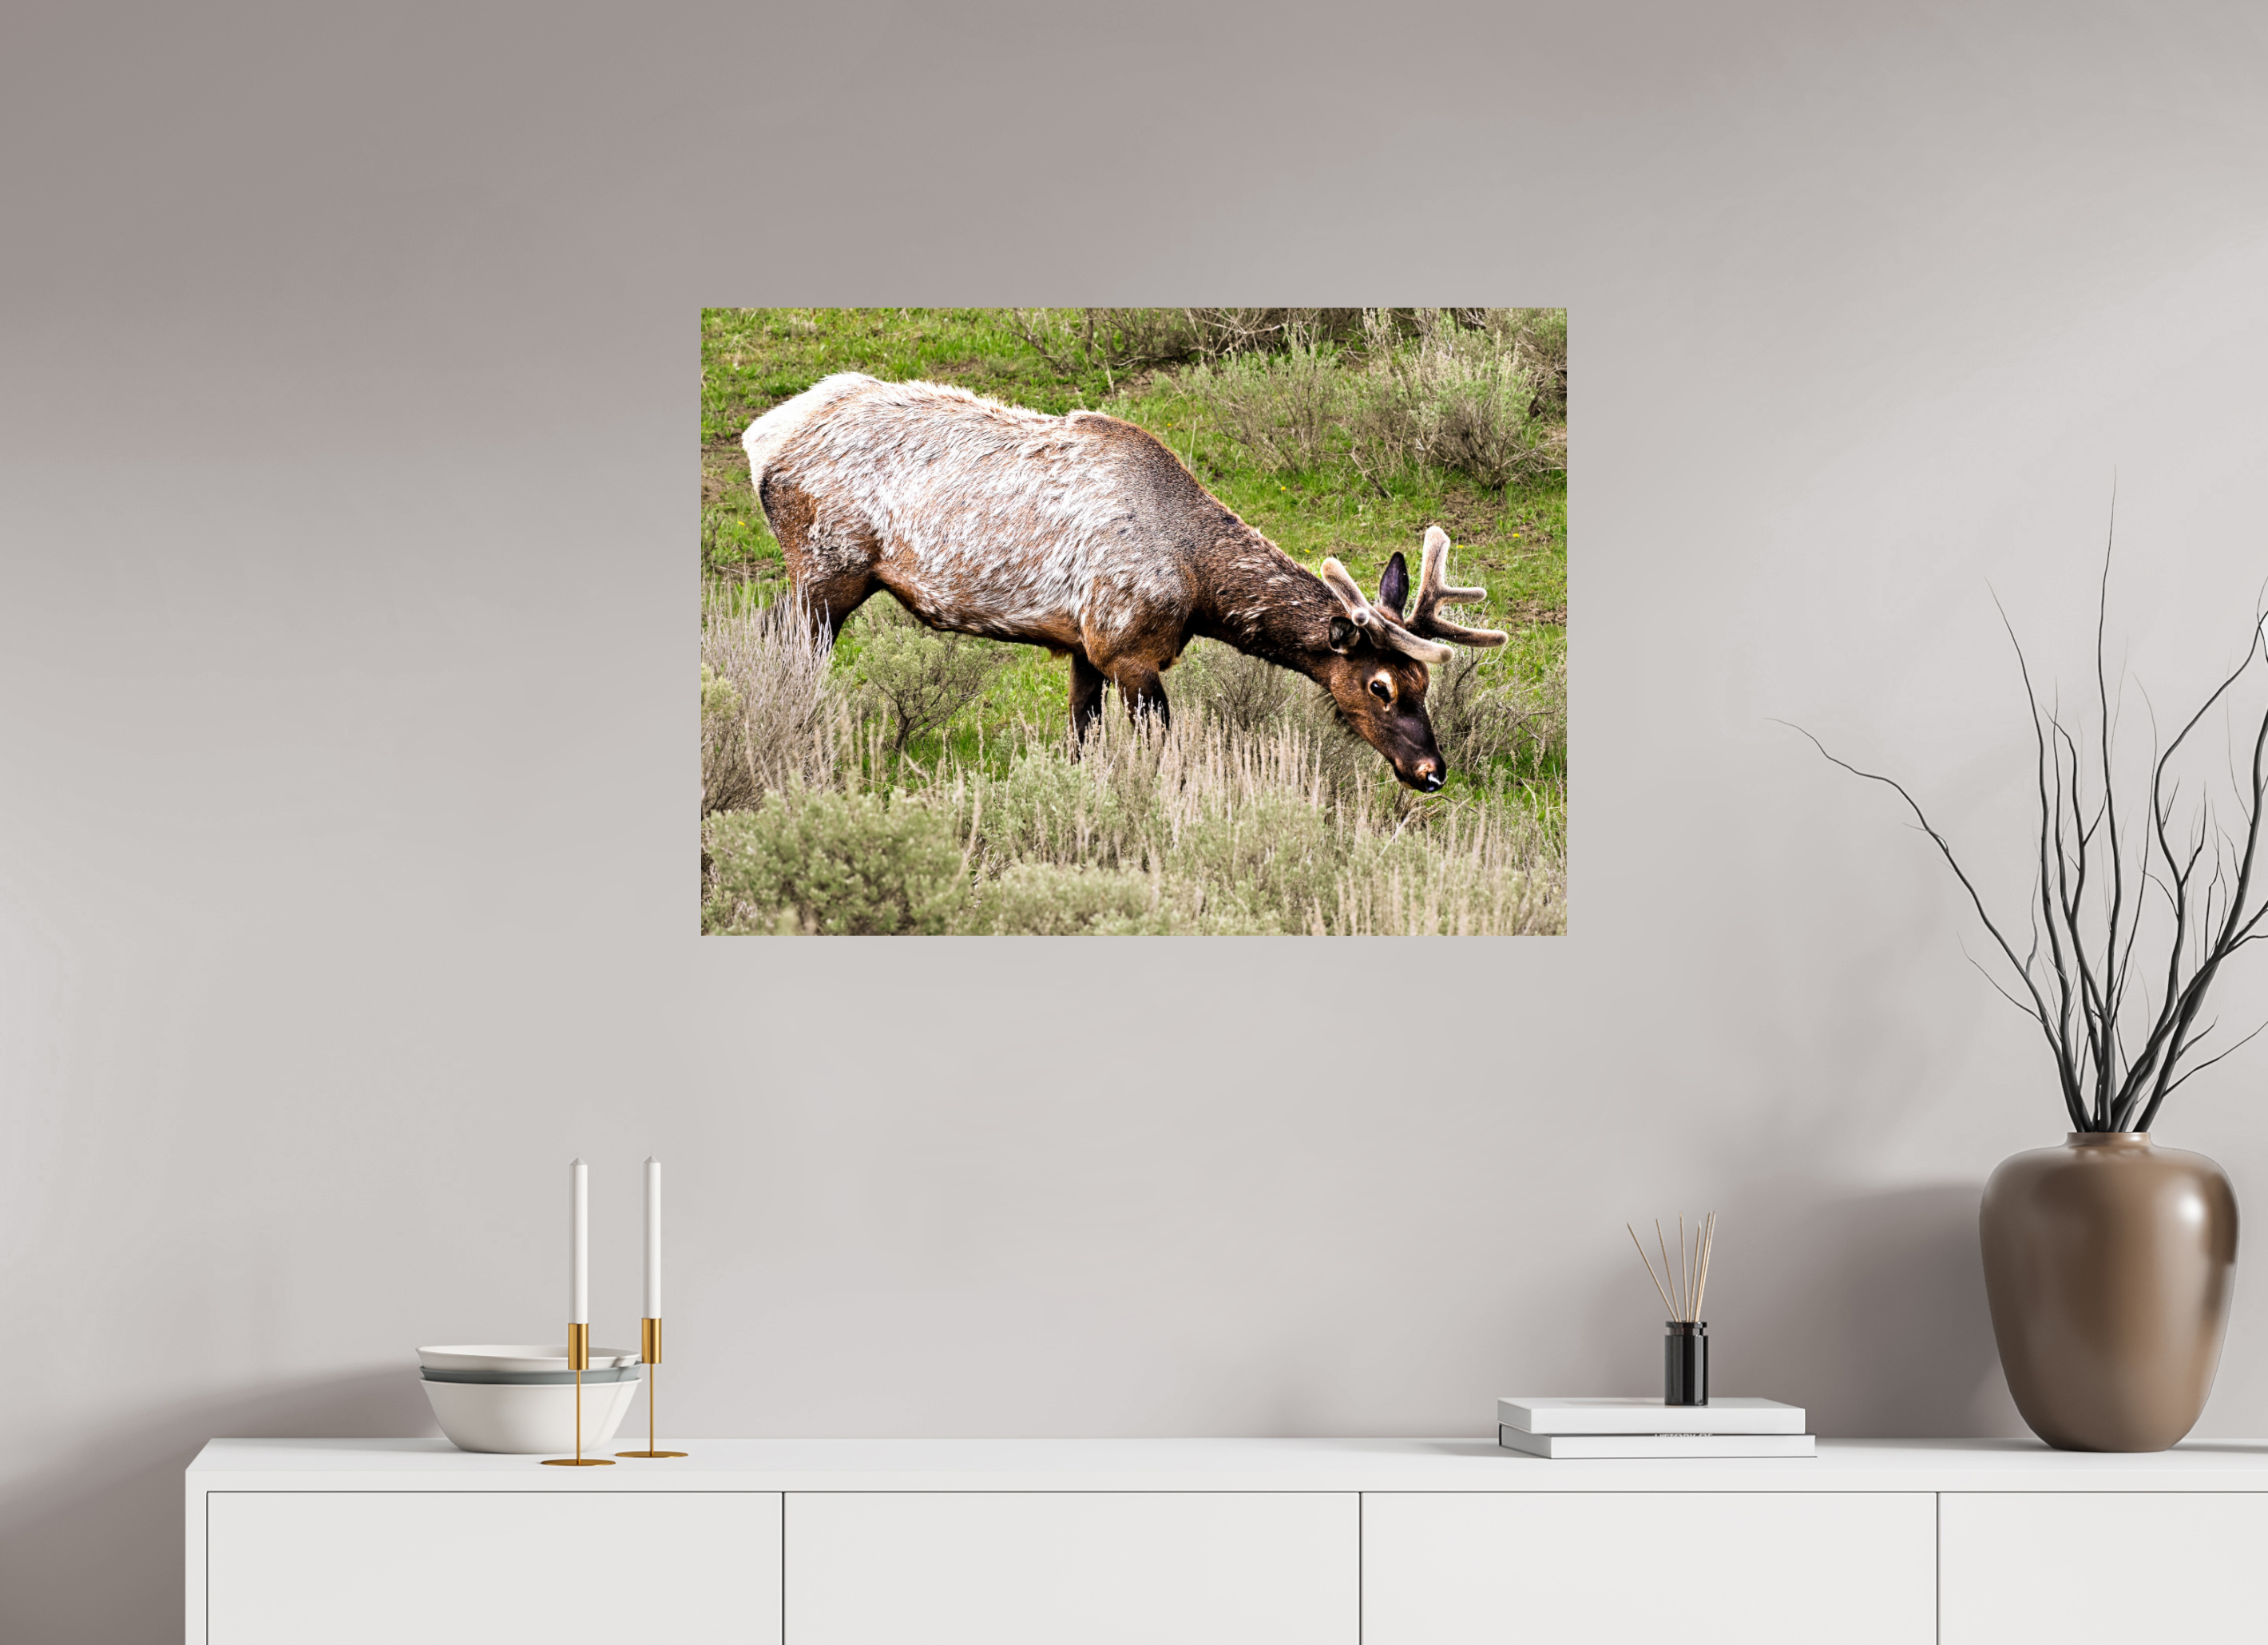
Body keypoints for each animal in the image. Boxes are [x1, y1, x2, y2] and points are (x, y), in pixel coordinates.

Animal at [741, 372, 1508, 791]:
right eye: (1379, 687)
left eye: (1424, 683)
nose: (1432, 770)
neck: (1198, 591)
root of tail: (760, 439)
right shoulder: (1129, 646)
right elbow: (1166, 750)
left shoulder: (1086, 643)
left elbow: (1082, 737)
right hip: (829, 567)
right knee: (783, 648)